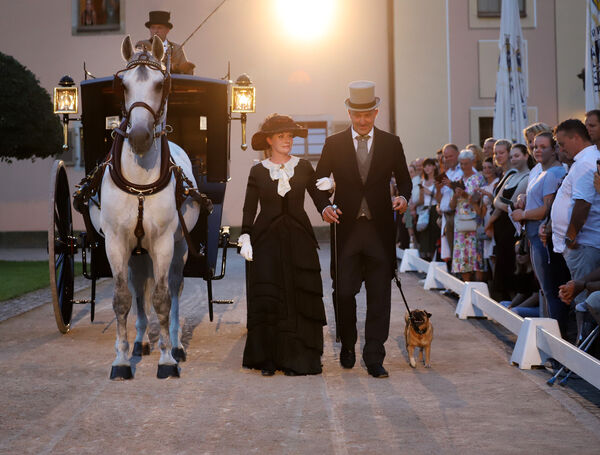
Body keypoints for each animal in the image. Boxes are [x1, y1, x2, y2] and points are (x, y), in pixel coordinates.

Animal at [89, 35, 199, 380]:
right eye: (122, 84)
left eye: (160, 83)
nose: (138, 136)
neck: (139, 181)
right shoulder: (115, 243)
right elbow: (123, 299)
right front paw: (122, 359)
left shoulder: (163, 243)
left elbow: (162, 300)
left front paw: (167, 360)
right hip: (136, 252)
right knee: (139, 290)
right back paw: (140, 341)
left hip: (179, 248)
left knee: (174, 288)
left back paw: (175, 345)